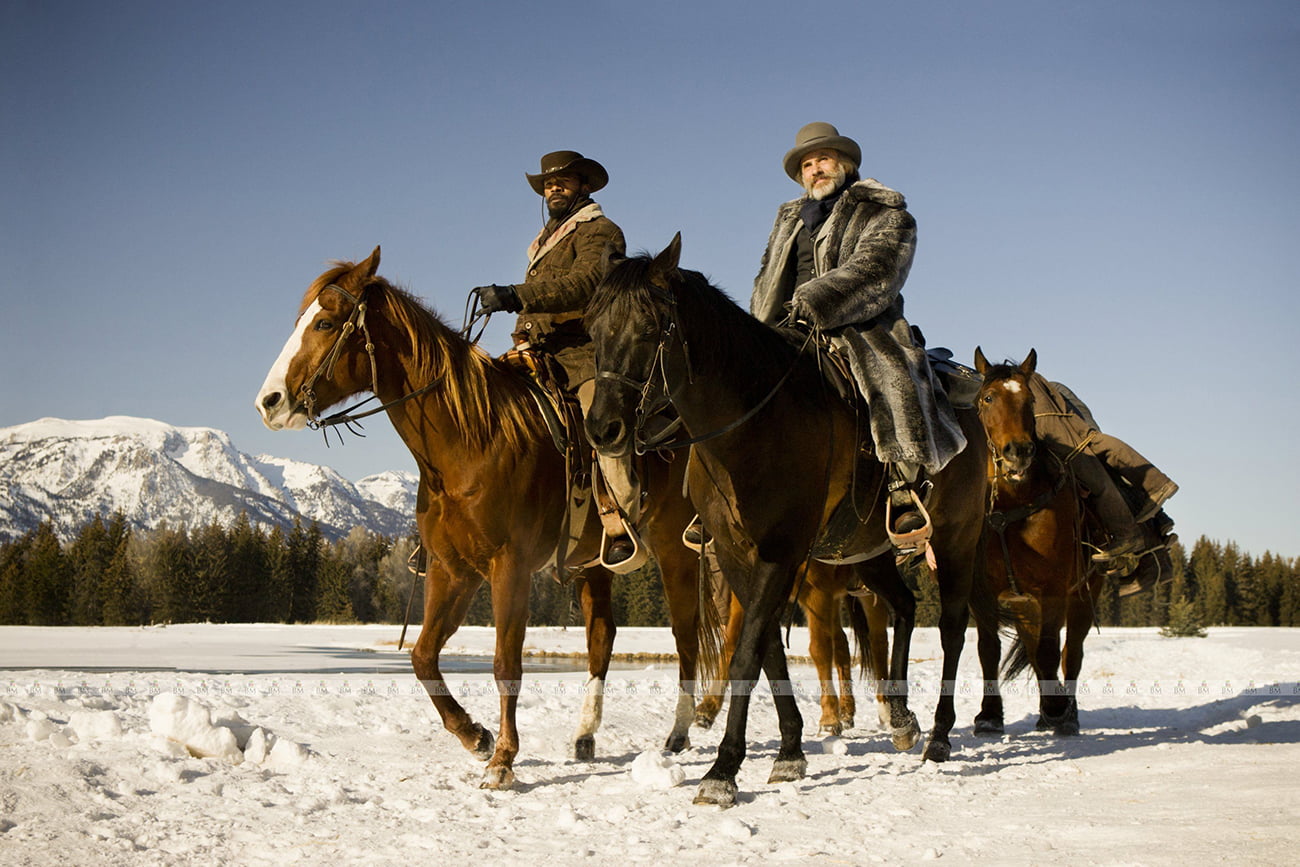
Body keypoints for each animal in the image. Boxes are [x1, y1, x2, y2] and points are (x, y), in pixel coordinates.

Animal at [253, 246, 722, 790]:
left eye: (326, 322)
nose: (268, 402)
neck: (470, 441)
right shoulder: (451, 570)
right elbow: (422, 655)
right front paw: (474, 736)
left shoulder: (508, 567)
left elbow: (505, 662)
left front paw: (503, 759)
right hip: (593, 566)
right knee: (602, 639)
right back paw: (585, 736)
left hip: (673, 550)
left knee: (686, 636)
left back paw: (678, 733)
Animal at [582, 237, 982, 805]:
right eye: (593, 328)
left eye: (652, 325)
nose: (603, 428)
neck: (749, 426)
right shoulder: (737, 552)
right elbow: (768, 647)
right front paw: (790, 751)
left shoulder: (781, 551)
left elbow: (748, 652)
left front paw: (722, 770)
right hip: (867, 550)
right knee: (904, 606)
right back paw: (903, 717)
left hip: (955, 540)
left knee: (950, 629)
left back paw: (941, 737)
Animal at [972, 348, 1102, 738]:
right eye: (988, 398)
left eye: (1030, 400)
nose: (1018, 451)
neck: (1011, 508)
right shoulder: (980, 593)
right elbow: (989, 649)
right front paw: (989, 716)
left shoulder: (1054, 590)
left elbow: (1049, 652)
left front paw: (1058, 710)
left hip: (1083, 596)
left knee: (1070, 654)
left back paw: (1065, 712)